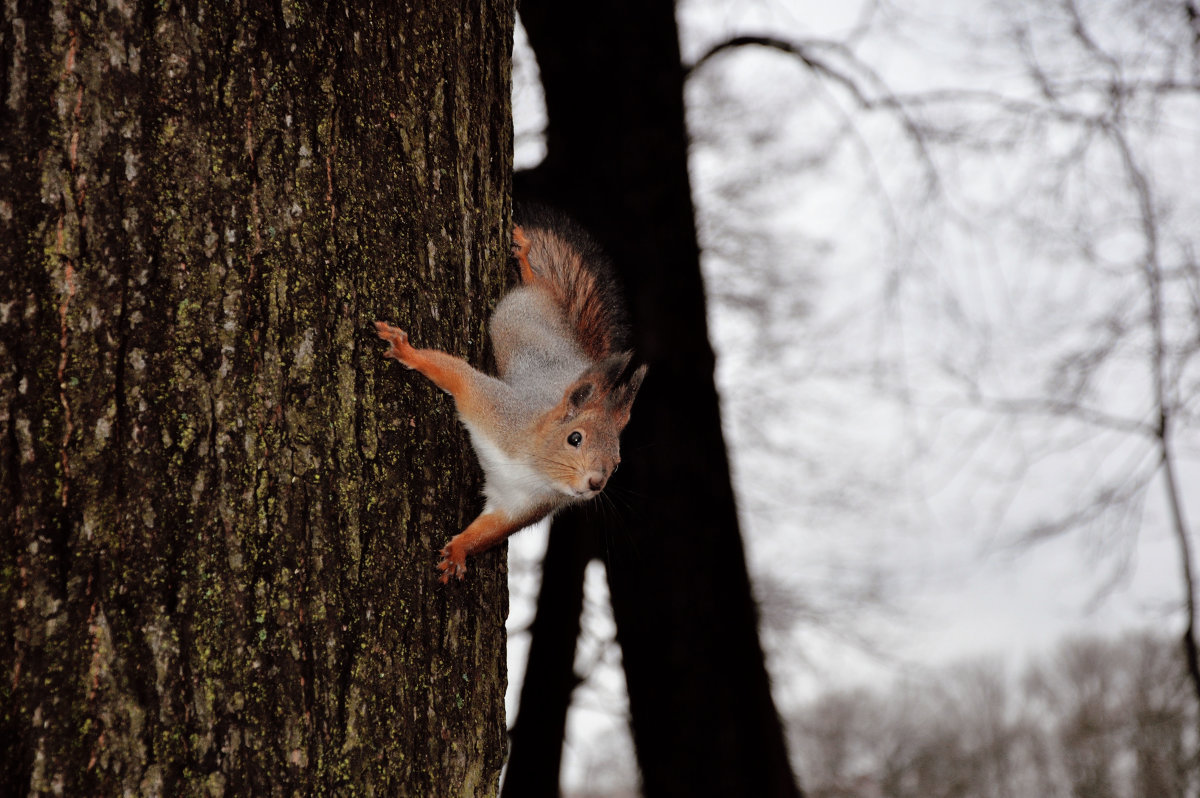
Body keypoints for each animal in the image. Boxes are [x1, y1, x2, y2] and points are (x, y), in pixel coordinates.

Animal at [374, 210, 648, 585]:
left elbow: (490, 530)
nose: (595, 483)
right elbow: (461, 376)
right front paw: (408, 352)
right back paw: (526, 262)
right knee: (534, 285)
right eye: (574, 438)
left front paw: (459, 552)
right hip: (514, 314)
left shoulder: (520, 505)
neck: (534, 467)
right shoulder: (497, 410)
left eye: (617, 463)